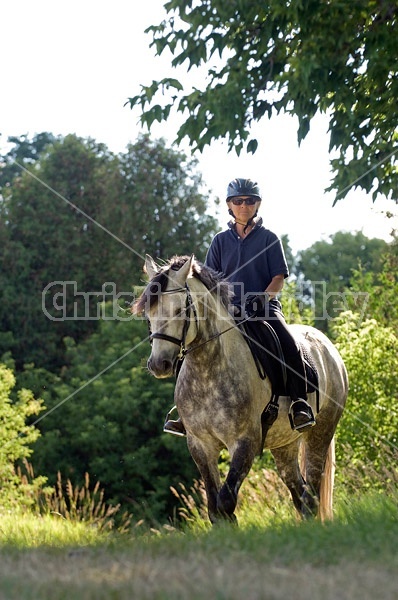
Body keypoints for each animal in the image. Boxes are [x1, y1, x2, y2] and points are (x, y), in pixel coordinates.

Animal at [137, 254, 348, 524]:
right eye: (149, 312)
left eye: (179, 310)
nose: (158, 364)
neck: (208, 369)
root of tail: (328, 347)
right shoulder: (199, 445)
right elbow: (214, 508)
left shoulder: (245, 442)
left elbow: (225, 501)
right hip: (284, 444)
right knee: (299, 493)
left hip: (320, 433)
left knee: (310, 494)